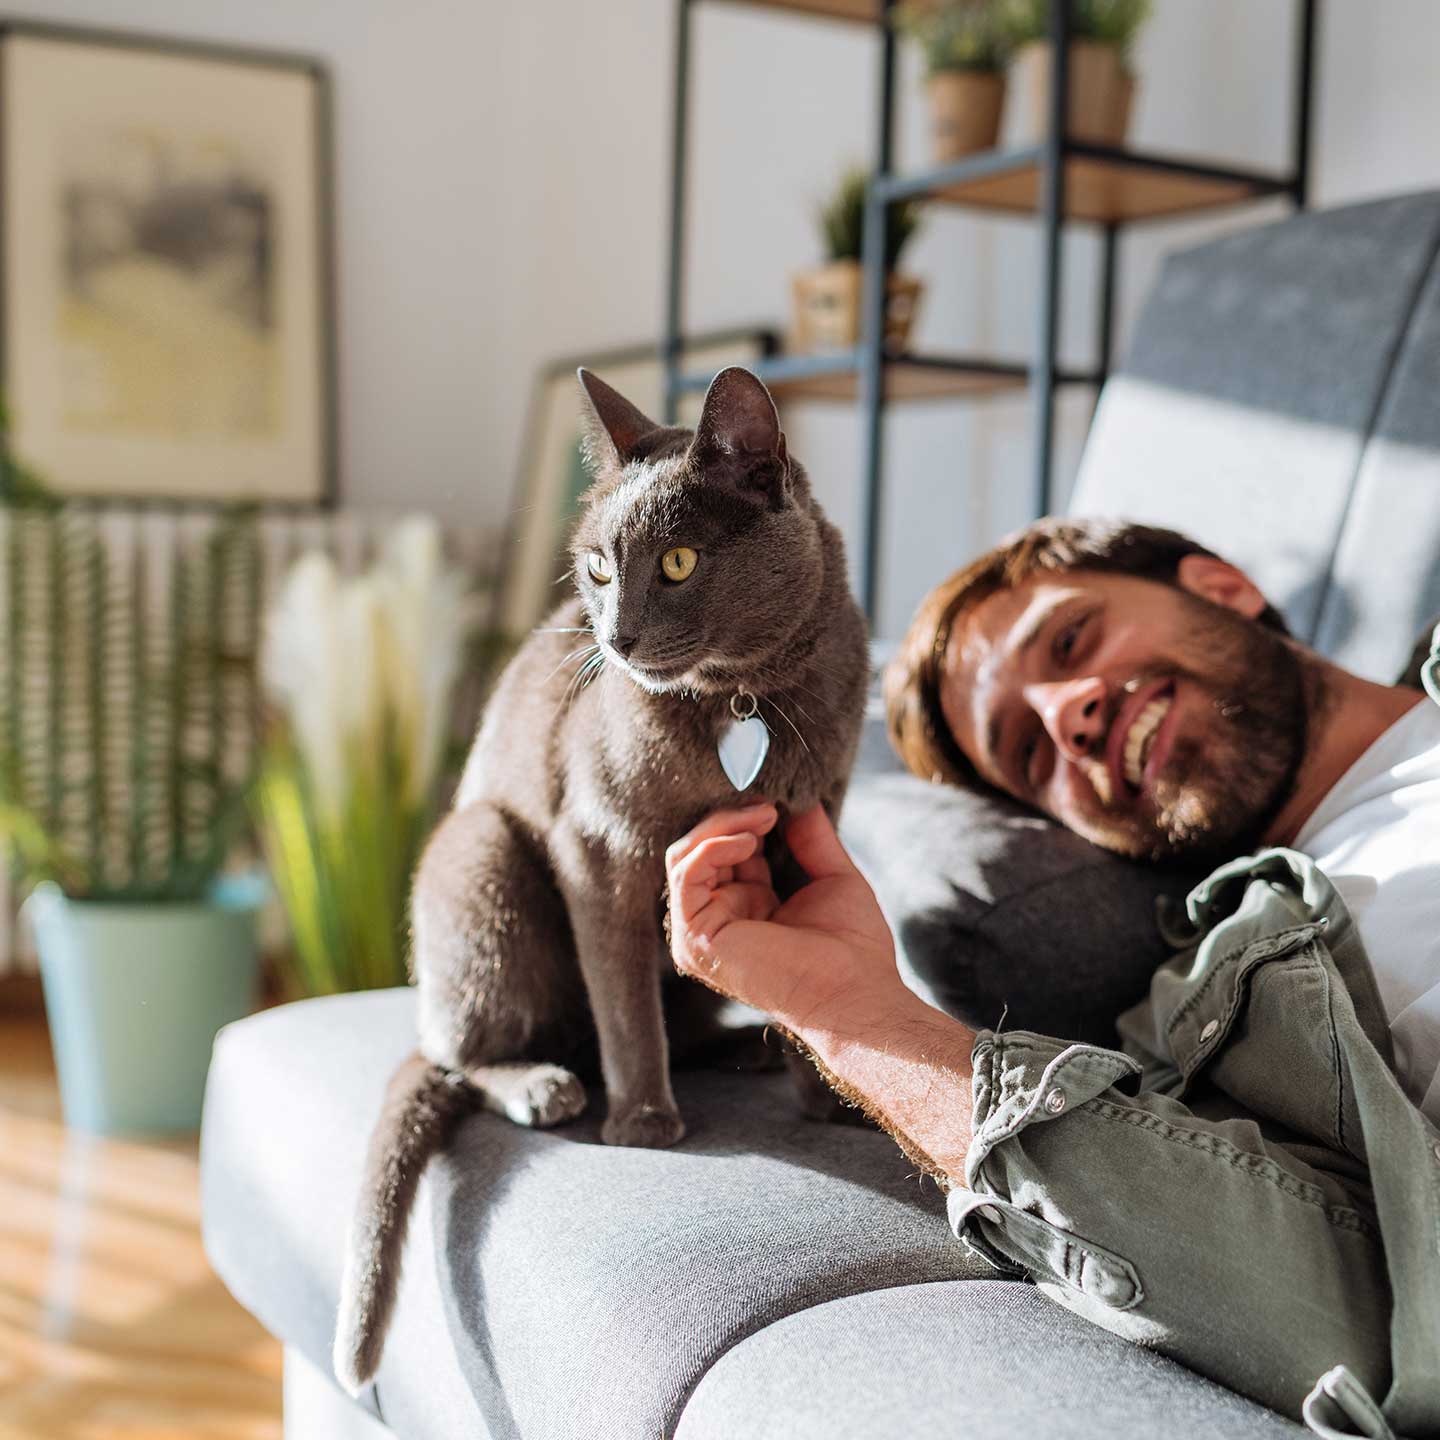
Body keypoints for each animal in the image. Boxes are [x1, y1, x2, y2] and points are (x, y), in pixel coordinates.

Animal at [334, 362, 864, 1393]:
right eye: (600, 570)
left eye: (680, 563)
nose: (614, 639)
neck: (745, 697)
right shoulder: (599, 844)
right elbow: (623, 1002)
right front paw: (644, 1122)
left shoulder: (811, 821)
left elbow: (801, 982)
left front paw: (823, 1097)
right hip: (480, 852)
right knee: (463, 1049)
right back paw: (545, 1084)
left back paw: (736, 1051)